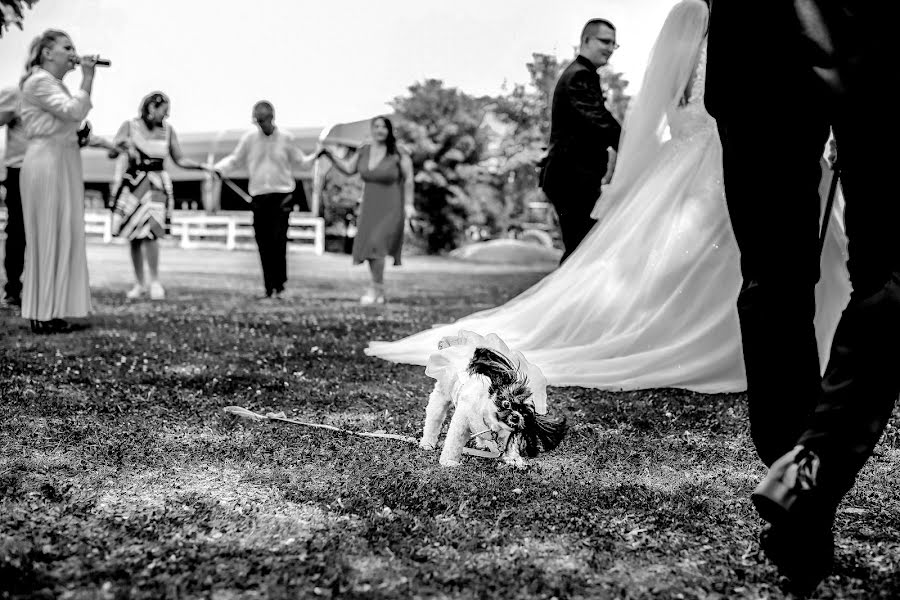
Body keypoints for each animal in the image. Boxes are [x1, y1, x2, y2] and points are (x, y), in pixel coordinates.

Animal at [418, 330, 568, 466]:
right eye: (506, 403)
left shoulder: (505, 437)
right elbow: (453, 443)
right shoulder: (461, 423)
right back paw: (427, 442)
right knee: (433, 420)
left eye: (525, 414)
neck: (491, 424)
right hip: (441, 396)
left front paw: (514, 460)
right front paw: (449, 461)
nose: (516, 416)